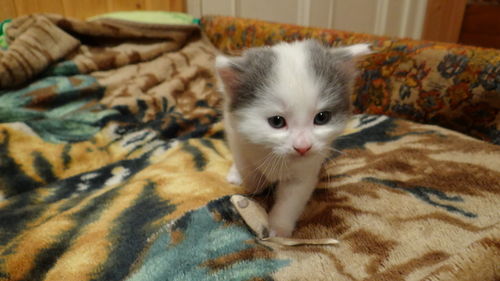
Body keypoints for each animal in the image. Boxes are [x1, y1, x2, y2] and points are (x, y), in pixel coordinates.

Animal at [215, 39, 372, 236]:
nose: (303, 147)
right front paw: (254, 185)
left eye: (322, 118)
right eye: (277, 121)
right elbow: (250, 172)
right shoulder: (238, 139)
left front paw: (278, 229)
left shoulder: (306, 169)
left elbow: (291, 200)